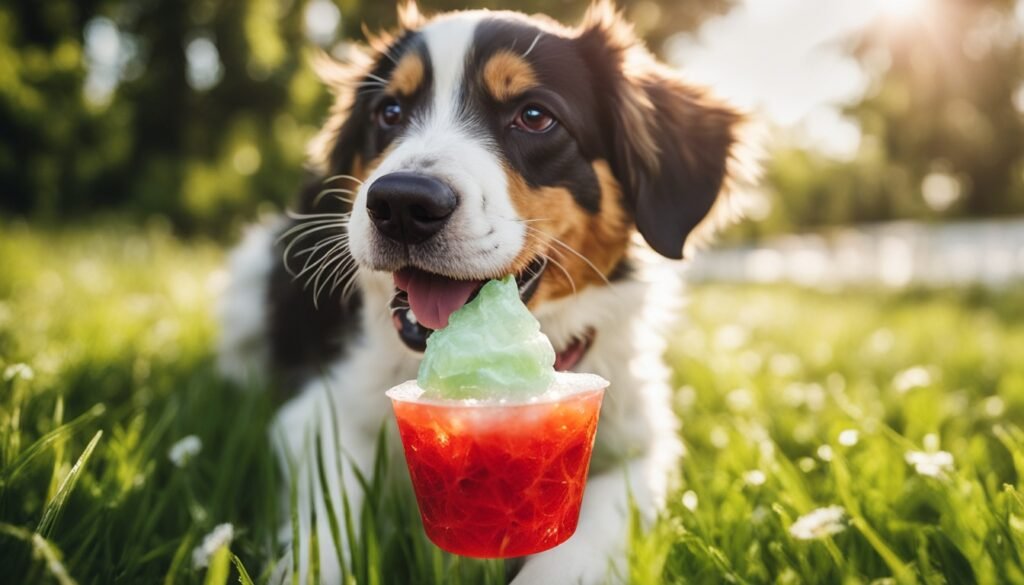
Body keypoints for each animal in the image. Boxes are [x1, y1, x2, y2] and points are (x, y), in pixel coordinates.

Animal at [216, 2, 745, 581]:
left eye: (534, 116)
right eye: (390, 112)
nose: (402, 203)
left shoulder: (643, 448)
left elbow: (583, 539)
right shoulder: (319, 415)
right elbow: (329, 526)